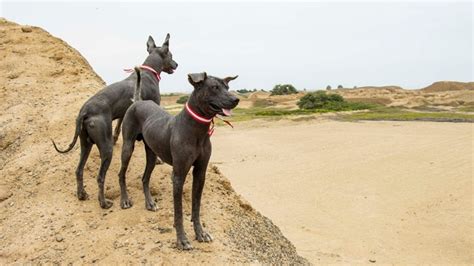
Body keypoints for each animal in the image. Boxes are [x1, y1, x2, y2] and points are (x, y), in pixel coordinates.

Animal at [51, 34, 178, 209]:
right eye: (171, 55)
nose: (176, 64)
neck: (148, 72)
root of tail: (84, 111)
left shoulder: (124, 114)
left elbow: (118, 128)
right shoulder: (154, 105)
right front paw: (158, 160)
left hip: (86, 144)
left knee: (79, 169)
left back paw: (81, 194)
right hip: (105, 148)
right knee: (100, 177)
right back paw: (104, 202)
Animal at [117, 68, 239, 249]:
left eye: (227, 86)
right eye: (214, 87)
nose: (236, 99)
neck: (196, 130)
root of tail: (138, 101)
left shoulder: (200, 173)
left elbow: (196, 207)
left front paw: (200, 233)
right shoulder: (178, 176)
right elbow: (179, 211)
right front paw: (182, 240)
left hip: (152, 155)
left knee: (145, 178)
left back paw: (150, 203)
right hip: (127, 147)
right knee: (121, 173)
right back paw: (125, 200)